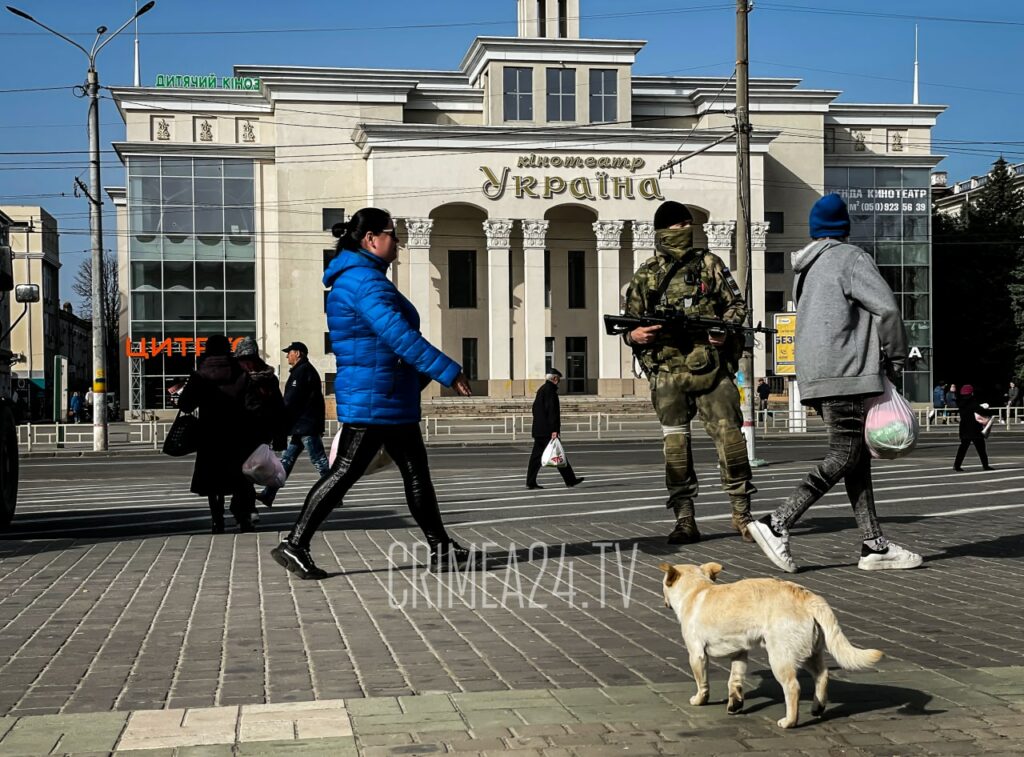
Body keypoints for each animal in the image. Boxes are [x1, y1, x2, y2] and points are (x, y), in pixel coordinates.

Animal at [659, 561, 884, 729]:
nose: (665, 603)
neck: (697, 589)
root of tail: (809, 597)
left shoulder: (696, 654)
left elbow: (702, 682)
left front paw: (699, 700)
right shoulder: (740, 653)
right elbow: (734, 681)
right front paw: (735, 704)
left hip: (779, 657)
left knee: (793, 687)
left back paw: (789, 721)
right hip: (810, 652)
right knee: (823, 675)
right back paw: (817, 707)